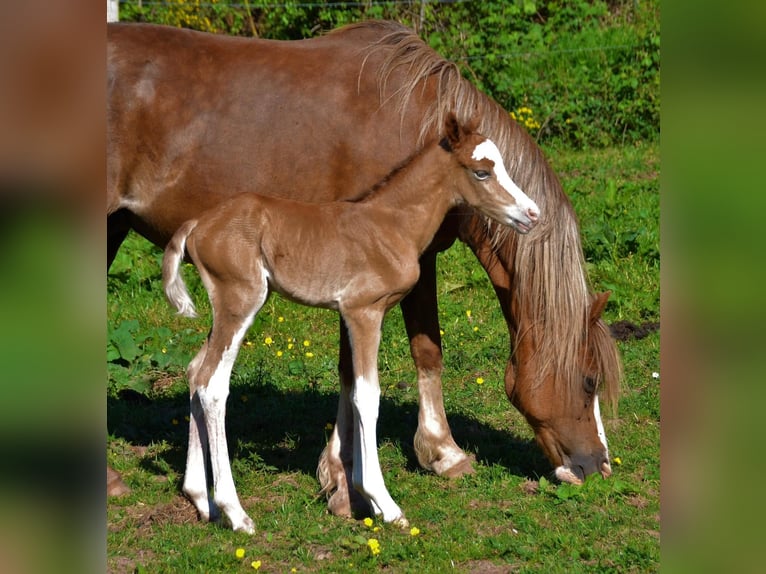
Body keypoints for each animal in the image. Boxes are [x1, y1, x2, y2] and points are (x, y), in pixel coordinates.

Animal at [162, 116, 540, 532]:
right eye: (482, 172)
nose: (532, 214)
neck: (393, 225)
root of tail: (196, 225)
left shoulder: (349, 314)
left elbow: (350, 384)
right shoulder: (363, 312)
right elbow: (366, 395)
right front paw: (383, 503)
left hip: (226, 307)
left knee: (195, 371)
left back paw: (201, 499)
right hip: (241, 299)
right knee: (212, 384)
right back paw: (235, 512)